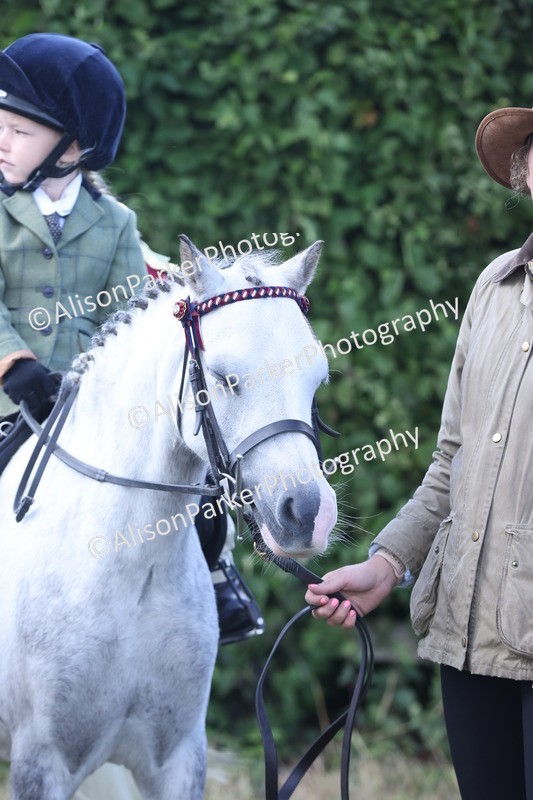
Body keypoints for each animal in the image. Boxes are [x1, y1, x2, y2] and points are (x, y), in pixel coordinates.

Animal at [0, 235, 337, 799]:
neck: (129, 564)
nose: (308, 514)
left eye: (318, 378)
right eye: (225, 379)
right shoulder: (41, 763)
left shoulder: (177, 758)